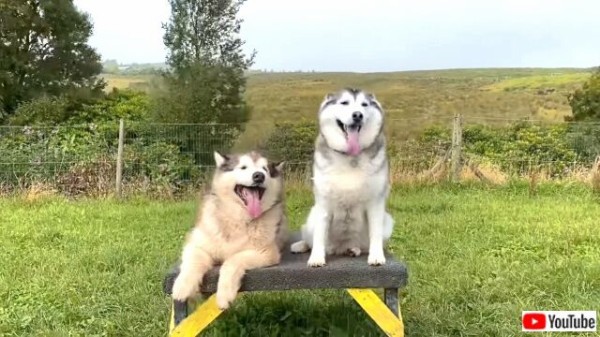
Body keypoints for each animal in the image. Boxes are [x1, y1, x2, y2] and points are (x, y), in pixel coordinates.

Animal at [290, 87, 394, 266]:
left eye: (364, 104)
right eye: (344, 103)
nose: (357, 115)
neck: (350, 157)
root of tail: (340, 248)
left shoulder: (375, 202)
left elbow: (375, 234)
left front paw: (376, 256)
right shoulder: (323, 203)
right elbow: (319, 236)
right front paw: (316, 258)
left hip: (387, 221)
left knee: (363, 245)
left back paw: (354, 249)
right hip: (312, 216)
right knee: (310, 237)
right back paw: (301, 245)